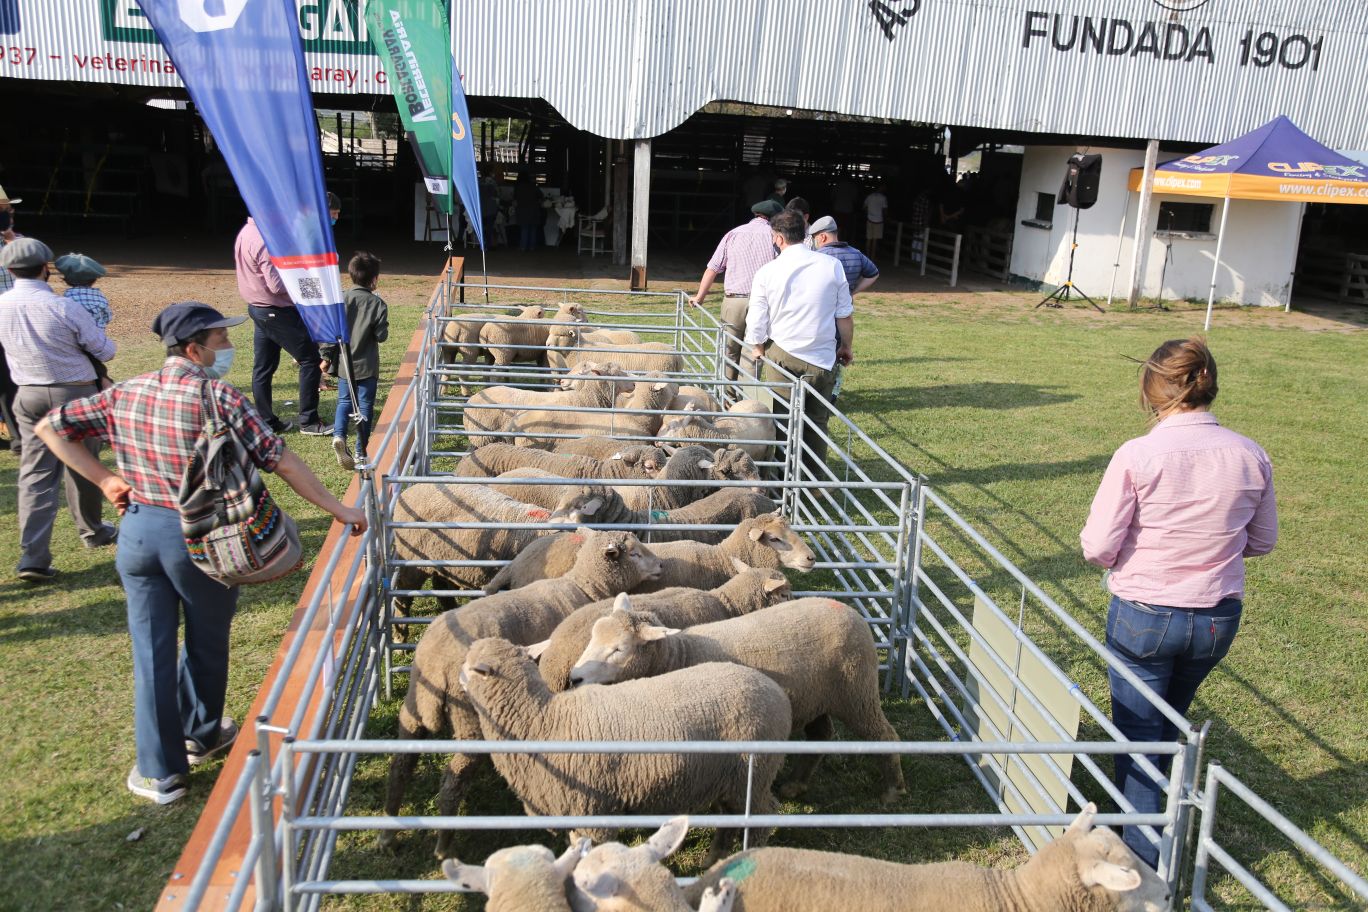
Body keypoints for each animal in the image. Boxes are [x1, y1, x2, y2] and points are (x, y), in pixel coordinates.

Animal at [382, 530, 663, 858]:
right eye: (634, 553)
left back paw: (388, 831)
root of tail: (435, 663)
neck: (584, 586)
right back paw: (444, 846)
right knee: (453, 779)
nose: (661, 565)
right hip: (470, 717)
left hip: (414, 705)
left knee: (400, 763)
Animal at [459, 635, 792, 864]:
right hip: (728, 779)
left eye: (470, 665)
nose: (458, 677)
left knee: (761, 818)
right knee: (730, 818)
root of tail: (776, 692)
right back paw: (714, 860)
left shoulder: (593, 813)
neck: (542, 720)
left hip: (754, 774)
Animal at [569, 596, 907, 803]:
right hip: (817, 696)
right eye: (593, 638)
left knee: (883, 734)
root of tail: (850, 611)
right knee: (822, 735)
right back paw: (795, 785)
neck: (680, 654)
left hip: (856, 692)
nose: (574, 678)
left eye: (619, 649)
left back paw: (893, 790)